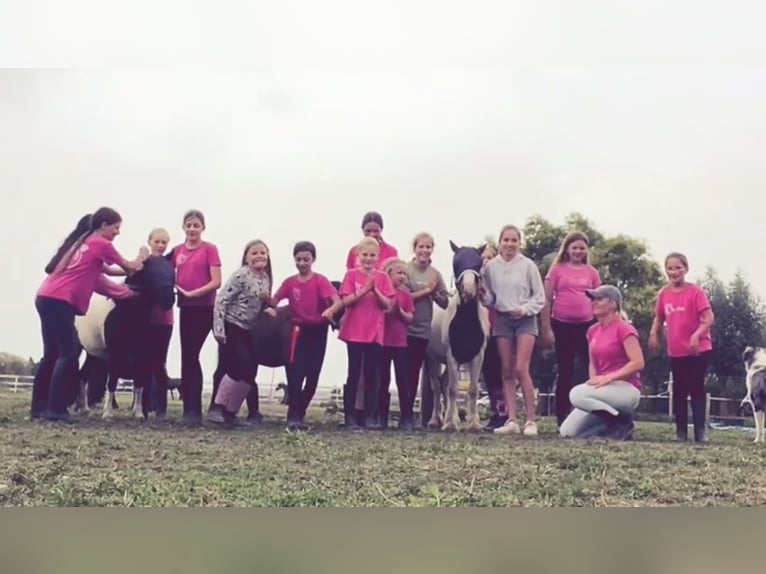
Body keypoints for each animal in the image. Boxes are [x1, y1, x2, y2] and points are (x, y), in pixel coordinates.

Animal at [420, 242, 492, 432]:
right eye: (456, 263)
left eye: (478, 263)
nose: (468, 289)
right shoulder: (452, 356)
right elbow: (452, 389)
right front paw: (451, 424)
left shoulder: (477, 357)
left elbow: (472, 390)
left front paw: (473, 424)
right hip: (432, 359)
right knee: (438, 387)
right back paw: (437, 420)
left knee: (444, 386)